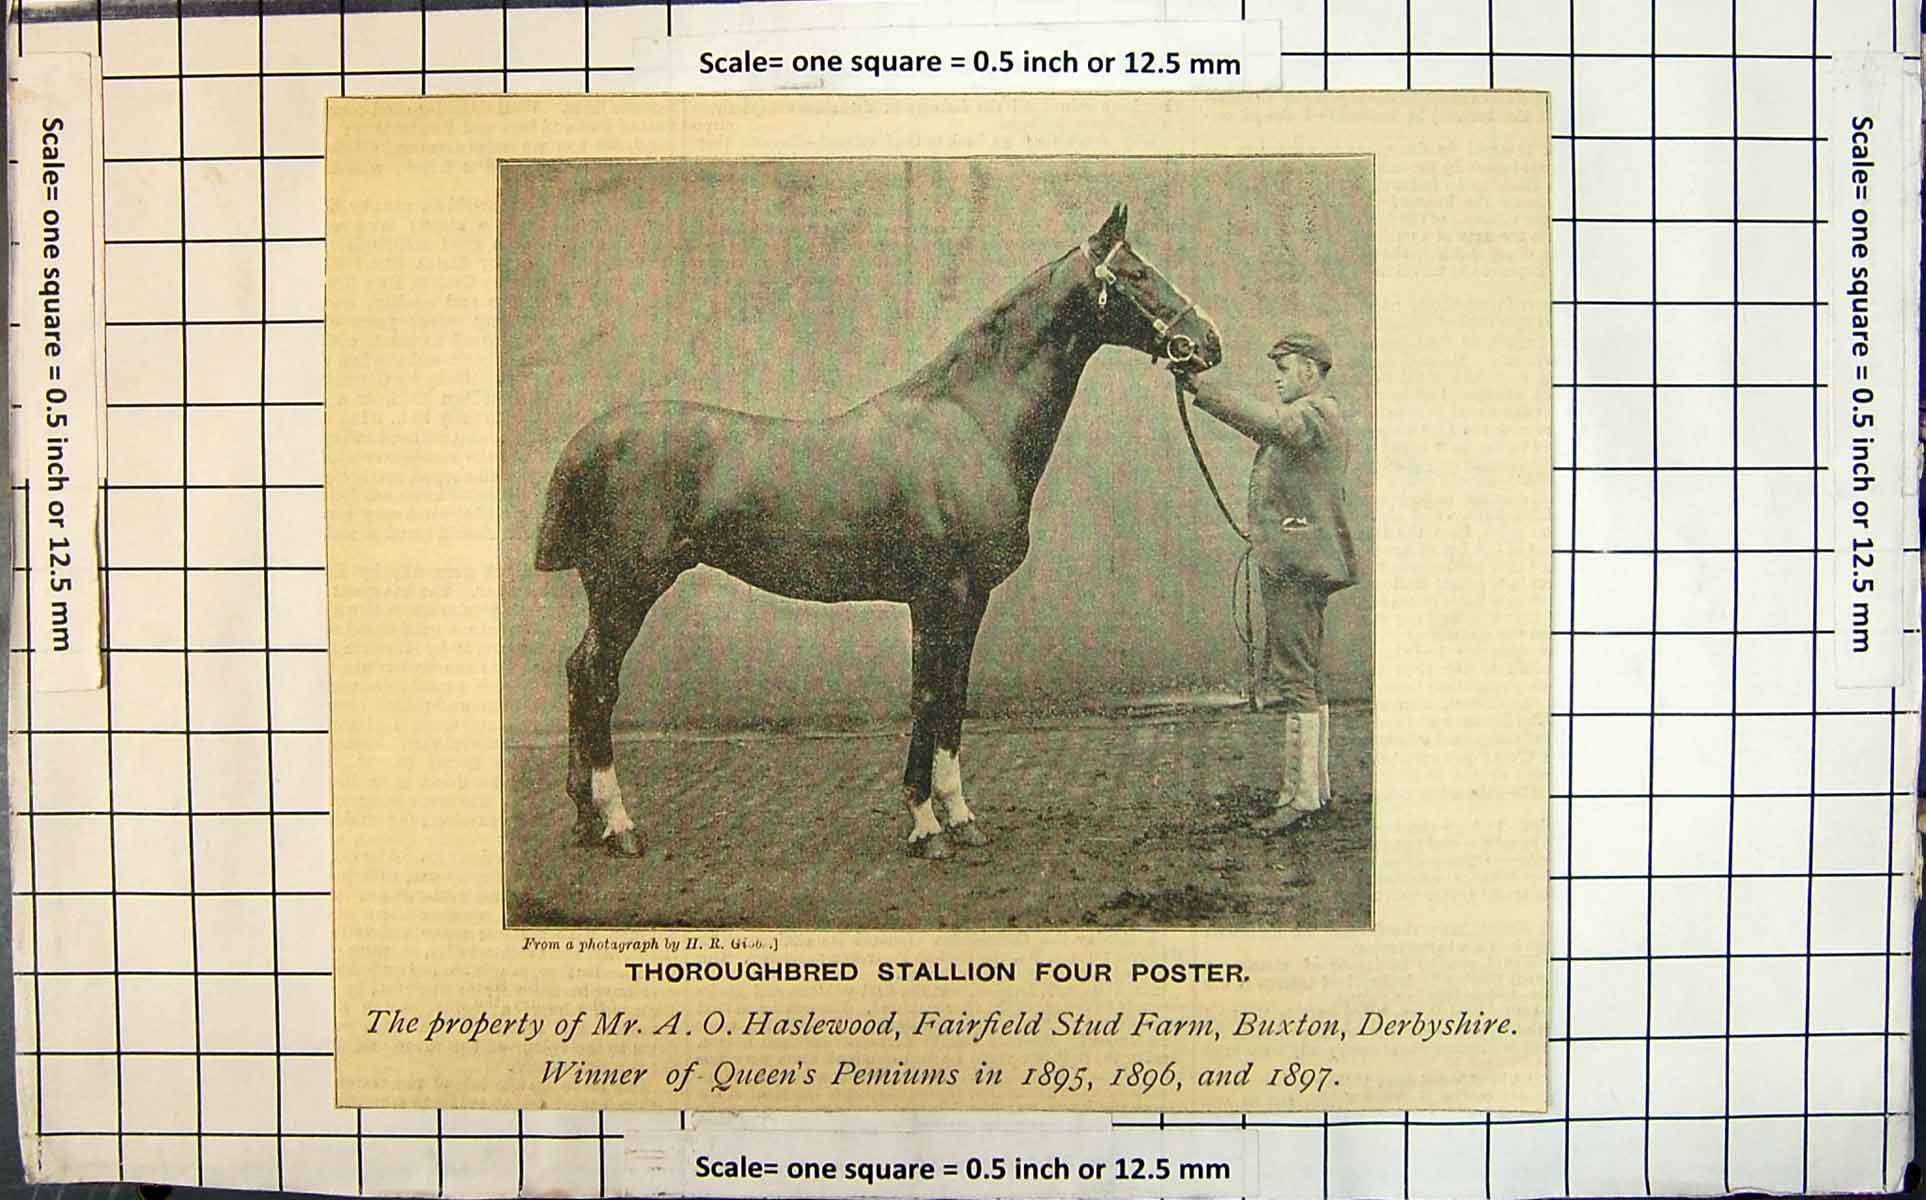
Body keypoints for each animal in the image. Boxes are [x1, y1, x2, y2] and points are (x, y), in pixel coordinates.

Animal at [533, 204, 1222, 860]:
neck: (970, 424)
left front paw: (961, 817)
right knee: (596, 682)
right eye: (1137, 273)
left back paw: (585, 819)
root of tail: (586, 442)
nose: (1208, 341)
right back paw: (619, 825)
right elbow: (927, 696)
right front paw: (925, 826)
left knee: (577, 673)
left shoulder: (969, 601)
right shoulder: (939, 595)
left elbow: (953, 699)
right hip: (627, 589)